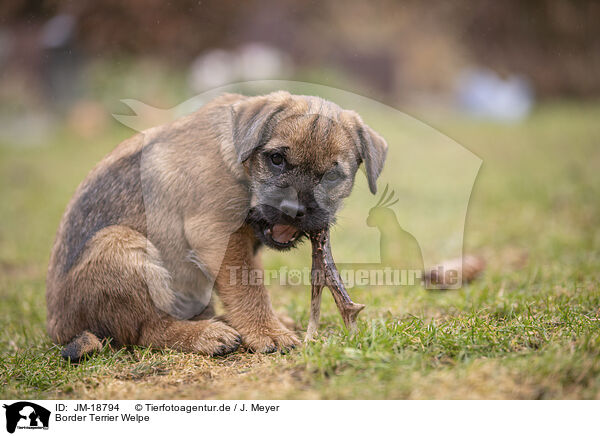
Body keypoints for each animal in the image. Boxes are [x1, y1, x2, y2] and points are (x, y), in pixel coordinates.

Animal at [45, 90, 390, 360]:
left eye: (332, 175)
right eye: (276, 159)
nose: (293, 211)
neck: (243, 165)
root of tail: (58, 327)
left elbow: (251, 283)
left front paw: (268, 324)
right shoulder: (217, 234)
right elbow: (248, 286)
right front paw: (268, 332)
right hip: (120, 243)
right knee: (148, 329)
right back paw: (205, 335)